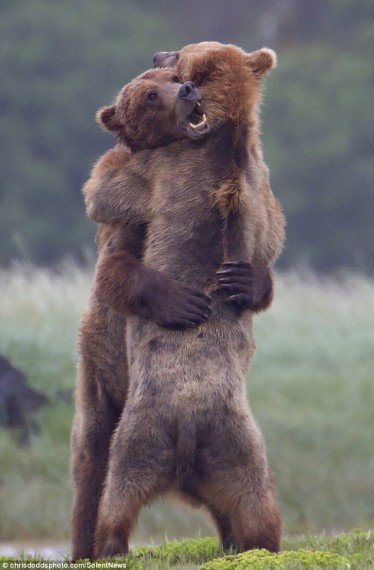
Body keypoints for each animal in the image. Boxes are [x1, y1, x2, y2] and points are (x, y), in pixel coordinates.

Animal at [70, 66, 213, 560]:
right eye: (150, 96)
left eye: (173, 76)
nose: (187, 90)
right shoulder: (128, 223)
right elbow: (115, 271)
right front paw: (185, 301)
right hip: (98, 379)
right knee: (92, 462)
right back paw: (85, 547)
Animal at [84, 42, 284, 556]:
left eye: (179, 57)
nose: (160, 51)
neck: (224, 134)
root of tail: (190, 433)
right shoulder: (258, 178)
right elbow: (271, 232)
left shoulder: (158, 173)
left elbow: (105, 189)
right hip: (239, 451)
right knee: (259, 510)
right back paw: (259, 543)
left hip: (140, 436)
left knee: (115, 498)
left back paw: (108, 544)